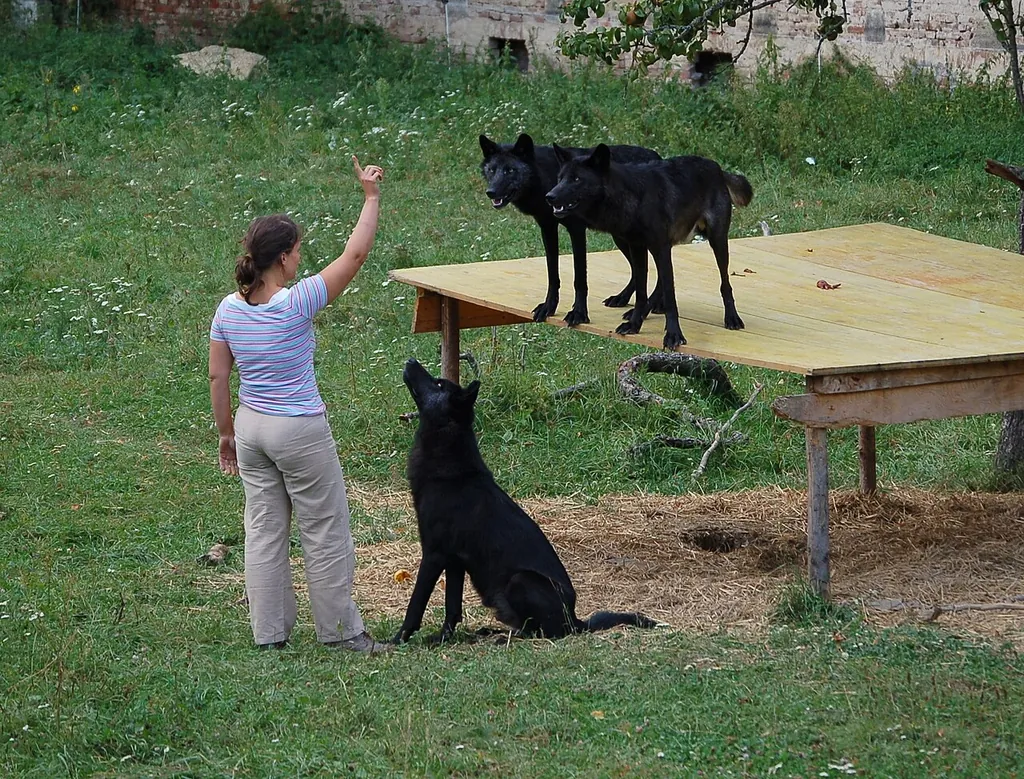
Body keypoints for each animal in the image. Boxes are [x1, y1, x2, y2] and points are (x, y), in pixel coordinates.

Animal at [392, 359, 657, 644]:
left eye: (439, 383)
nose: (410, 361)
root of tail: (575, 621)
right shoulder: (454, 561)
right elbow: (452, 607)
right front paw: (443, 638)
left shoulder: (434, 554)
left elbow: (416, 605)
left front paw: (398, 640)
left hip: (519, 581)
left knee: (543, 633)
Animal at [479, 133, 661, 325]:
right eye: (491, 170)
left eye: (510, 171)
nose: (491, 192)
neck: (546, 178)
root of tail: (656, 155)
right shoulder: (548, 228)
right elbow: (552, 275)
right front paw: (548, 307)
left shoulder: (576, 230)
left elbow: (579, 278)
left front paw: (578, 313)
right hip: (621, 237)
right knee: (638, 270)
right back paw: (625, 299)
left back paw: (648, 307)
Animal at [546, 143, 753, 350]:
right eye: (560, 178)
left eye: (577, 179)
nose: (549, 196)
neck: (634, 197)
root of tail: (715, 166)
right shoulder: (639, 248)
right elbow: (641, 292)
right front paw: (634, 325)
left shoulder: (660, 248)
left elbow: (670, 299)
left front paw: (674, 335)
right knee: (659, 282)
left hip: (717, 242)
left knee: (725, 283)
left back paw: (732, 318)